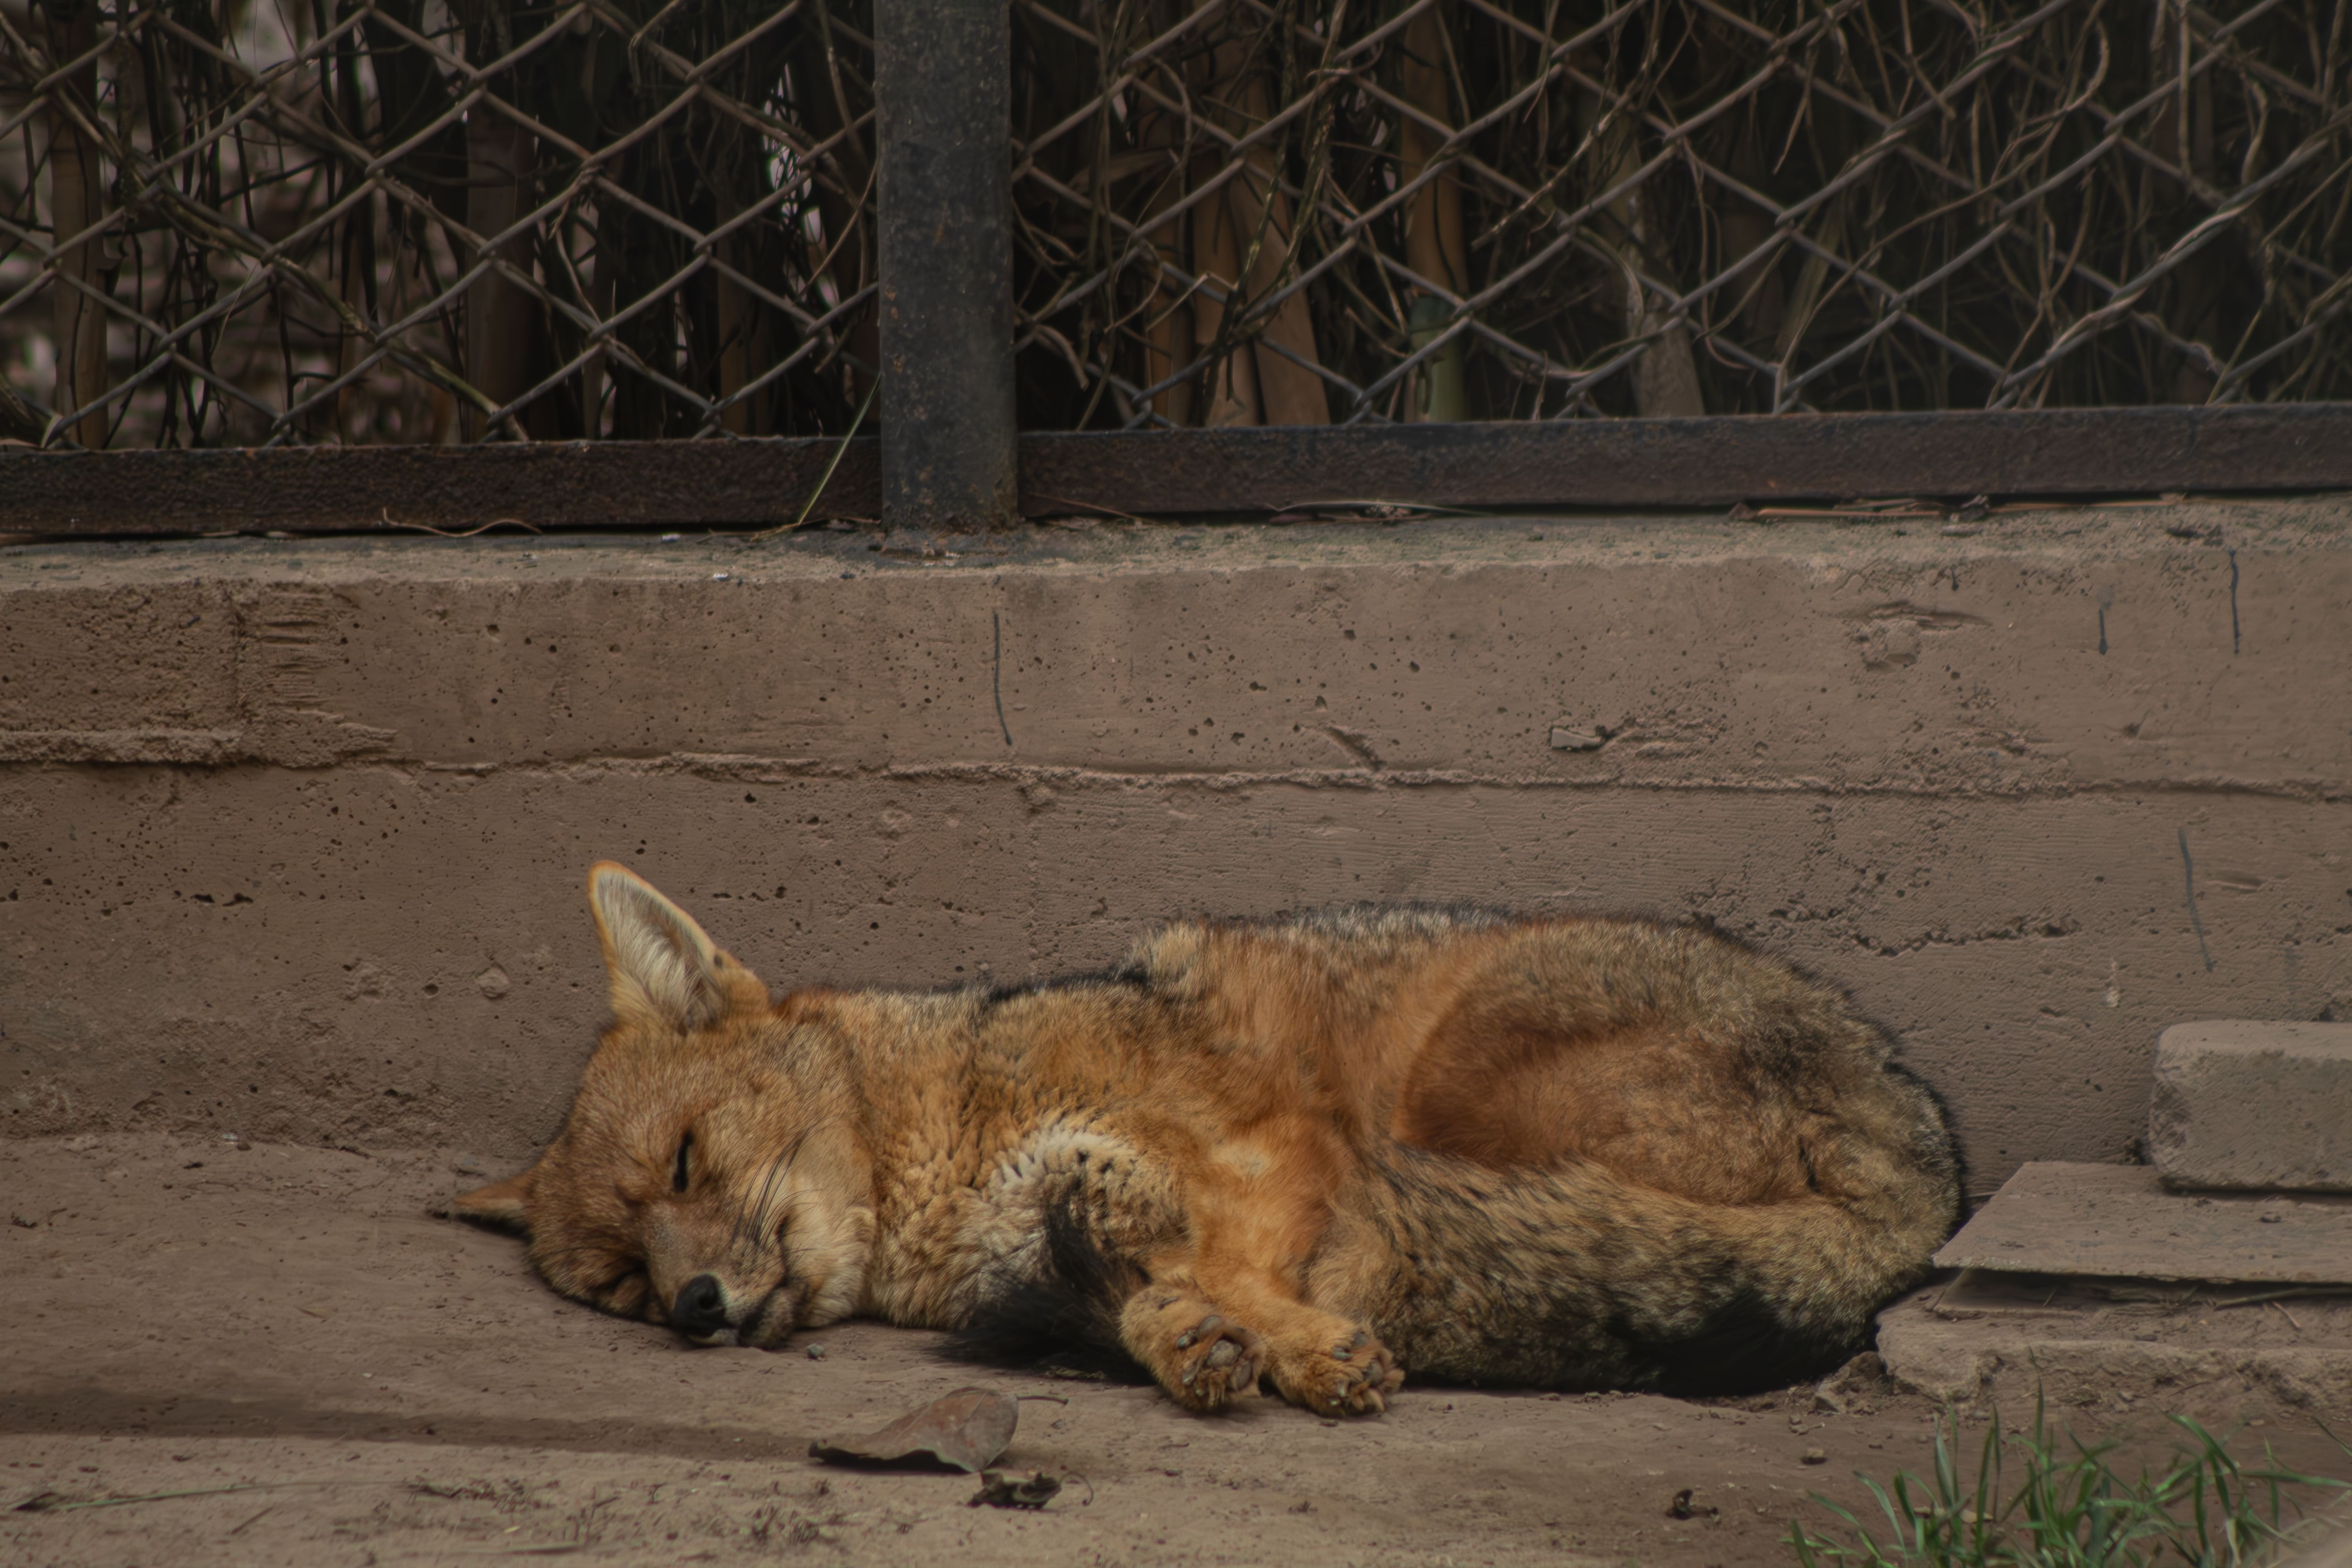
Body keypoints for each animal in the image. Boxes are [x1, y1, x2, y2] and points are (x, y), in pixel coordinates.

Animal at [451, 862, 1961, 1415]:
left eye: (687, 1163)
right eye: (622, 1283)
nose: (697, 1306)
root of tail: (1926, 1150)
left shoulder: (1270, 1154)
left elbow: (1246, 1269)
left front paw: (1303, 1349)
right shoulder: (1108, 1191)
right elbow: (1157, 1291)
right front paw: (1189, 1343)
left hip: (1461, 1080)